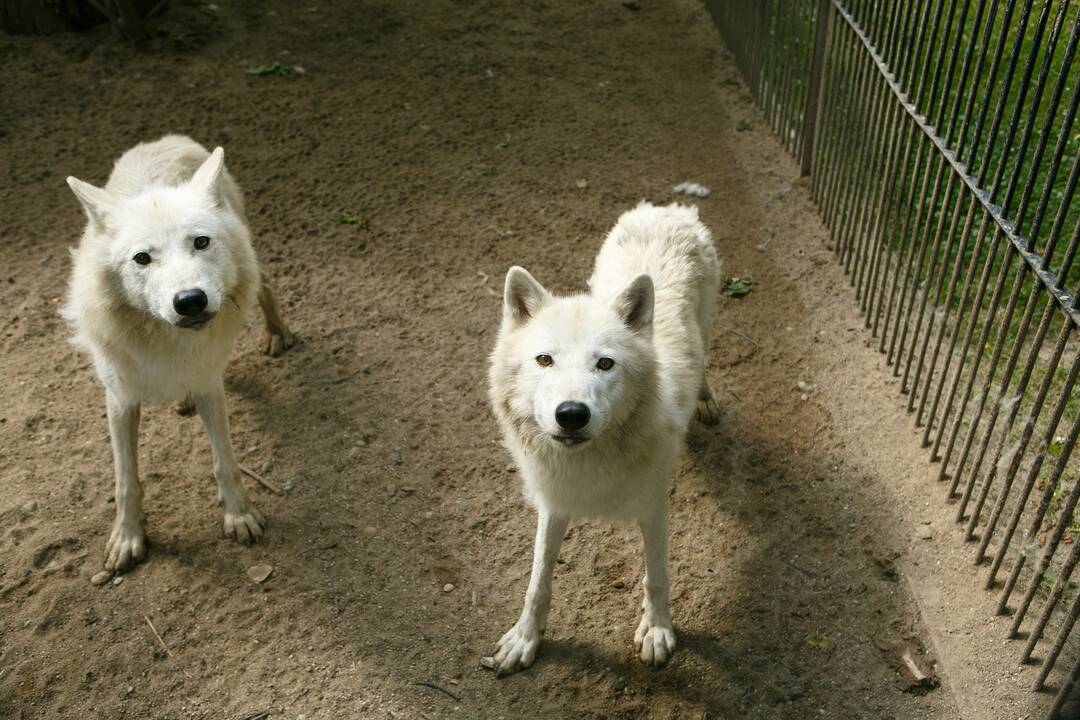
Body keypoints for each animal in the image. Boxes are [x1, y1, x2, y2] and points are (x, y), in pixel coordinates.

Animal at [66, 134, 295, 574]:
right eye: (142, 258)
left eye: (200, 242)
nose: (190, 301)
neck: (167, 341)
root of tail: (165, 140)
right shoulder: (120, 399)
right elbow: (126, 480)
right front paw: (127, 538)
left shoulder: (210, 384)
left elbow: (225, 462)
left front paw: (239, 516)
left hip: (251, 264)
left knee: (266, 284)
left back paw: (277, 334)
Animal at [490, 199, 717, 673]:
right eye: (544, 360)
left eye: (605, 364)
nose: (572, 414)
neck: (590, 465)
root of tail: (668, 207)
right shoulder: (554, 502)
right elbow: (537, 582)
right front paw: (524, 639)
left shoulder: (654, 508)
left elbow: (656, 578)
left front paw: (658, 631)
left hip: (707, 322)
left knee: (706, 358)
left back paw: (705, 400)